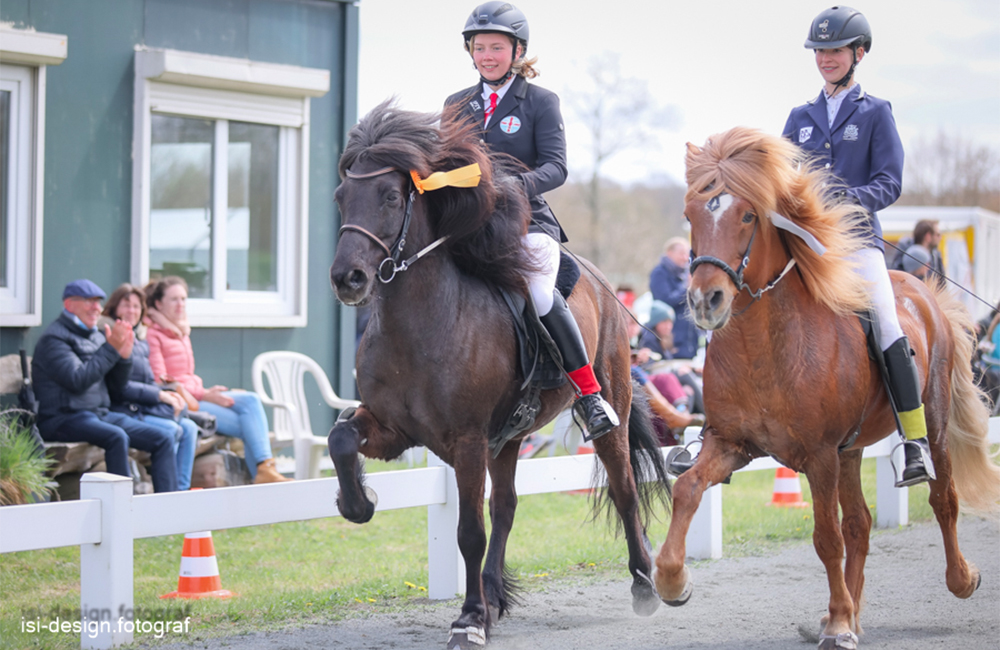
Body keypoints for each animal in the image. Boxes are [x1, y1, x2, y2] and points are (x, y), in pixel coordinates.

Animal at [328, 98, 672, 644]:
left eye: (389, 196)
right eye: (342, 195)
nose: (348, 279)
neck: (418, 324)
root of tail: (599, 281)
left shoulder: (466, 441)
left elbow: (469, 531)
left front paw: (468, 620)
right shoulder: (394, 429)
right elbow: (340, 438)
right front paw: (357, 502)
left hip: (607, 409)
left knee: (623, 489)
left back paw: (643, 584)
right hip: (509, 437)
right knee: (506, 505)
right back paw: (493, 596)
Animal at [648, 128, 1000, 648]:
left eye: (748, 214)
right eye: (692, 215)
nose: (704, 301)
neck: (762, 346)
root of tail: (920, 289)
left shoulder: (818, 456)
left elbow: (825, 537)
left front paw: (836, 623)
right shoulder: (731, 444)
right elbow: (689, 488)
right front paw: (673, 582)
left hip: (929, 423)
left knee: (942, 499)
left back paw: (958, 579)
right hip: (850, 451)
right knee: (860, 524)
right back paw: (854, 614)